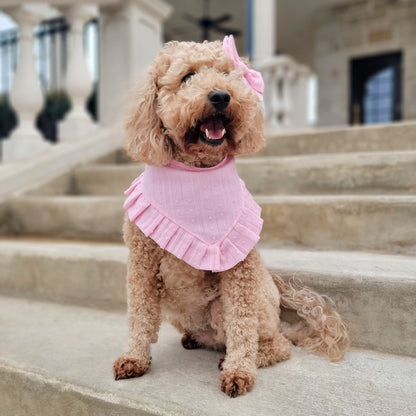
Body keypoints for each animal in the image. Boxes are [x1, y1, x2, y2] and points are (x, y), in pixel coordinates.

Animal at [113, 37, 348, 398]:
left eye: (228, 75)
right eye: (187, 77)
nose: (222, 96)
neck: (196, 171)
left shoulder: (238, 270)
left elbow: (241, 324)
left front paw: (239, 372)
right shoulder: (142, 261)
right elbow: (139, 315)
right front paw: (134, 358)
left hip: (231, 308)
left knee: (275, 345)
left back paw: (240, 359)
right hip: (175, 306)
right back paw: (194, 339)